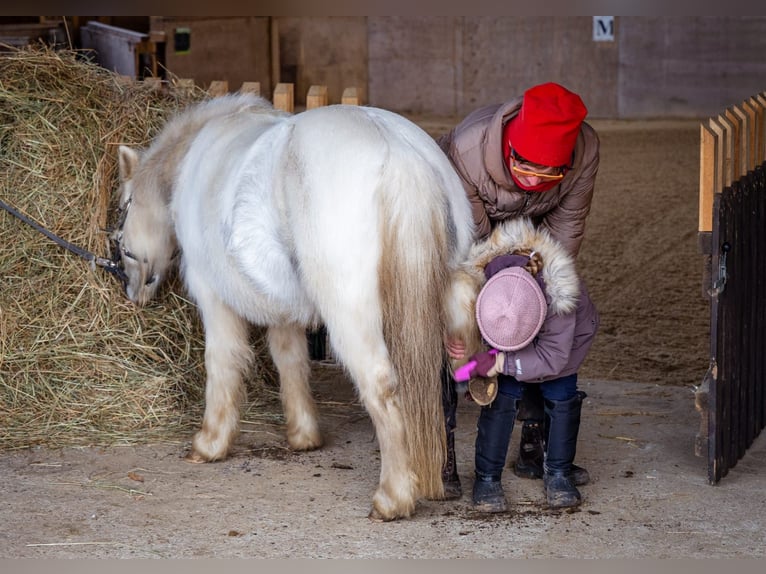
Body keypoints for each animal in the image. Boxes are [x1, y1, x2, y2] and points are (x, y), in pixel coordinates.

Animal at [113, 93, 475, 521]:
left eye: (124, 208)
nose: (131, 290)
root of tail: (400, 155)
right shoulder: (281, 305)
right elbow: (291, 360)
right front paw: (303, 434)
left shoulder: (212, 295)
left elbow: (222, 362)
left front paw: (210, 442)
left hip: (350, 316)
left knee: (381, 386)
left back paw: (392, 497)